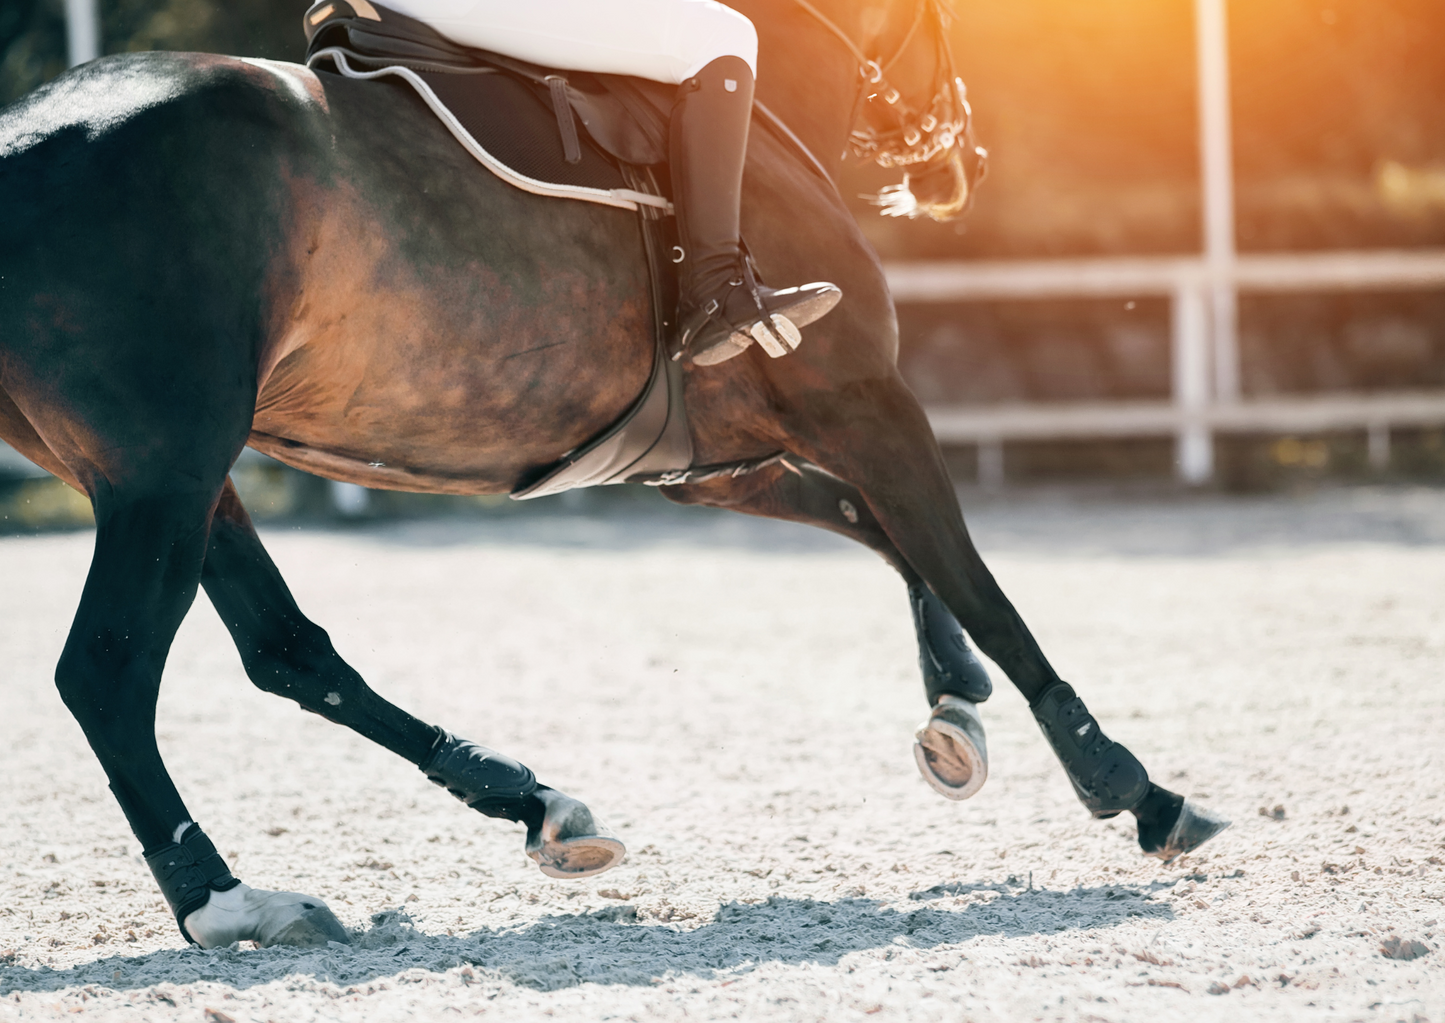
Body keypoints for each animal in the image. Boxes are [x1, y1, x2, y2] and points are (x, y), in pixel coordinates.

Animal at [0, 0, 1227, 948]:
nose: (957, 167)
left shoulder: (712, 465)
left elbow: (884, 535)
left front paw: (953, 707)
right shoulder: (862, 400)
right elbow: (974, 577)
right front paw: (1130, 786)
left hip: (181, 475)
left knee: (287, 652)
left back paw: (535, 805)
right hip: (166, 469)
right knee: (108, 672)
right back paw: (228, 900)